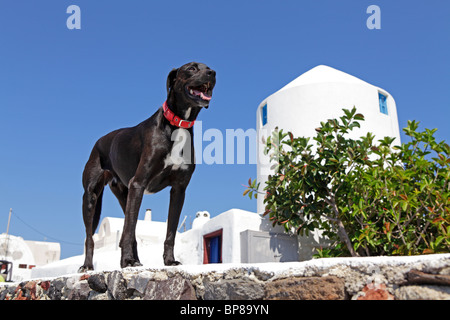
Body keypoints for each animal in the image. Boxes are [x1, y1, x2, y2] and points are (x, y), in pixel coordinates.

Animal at [79, 62, 216, 270]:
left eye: (207, 67)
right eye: (192, 68)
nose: (212, 73)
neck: (178, 125)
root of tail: (99, 142)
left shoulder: (178, 190)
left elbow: (170, 232)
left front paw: (169, 260)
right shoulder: (139, 183)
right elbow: (127, 231)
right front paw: (126, 261)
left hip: (125, 195)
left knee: (131, 228)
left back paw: (135, 260)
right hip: (91, 196)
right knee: (92, 236)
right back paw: (89, 265)